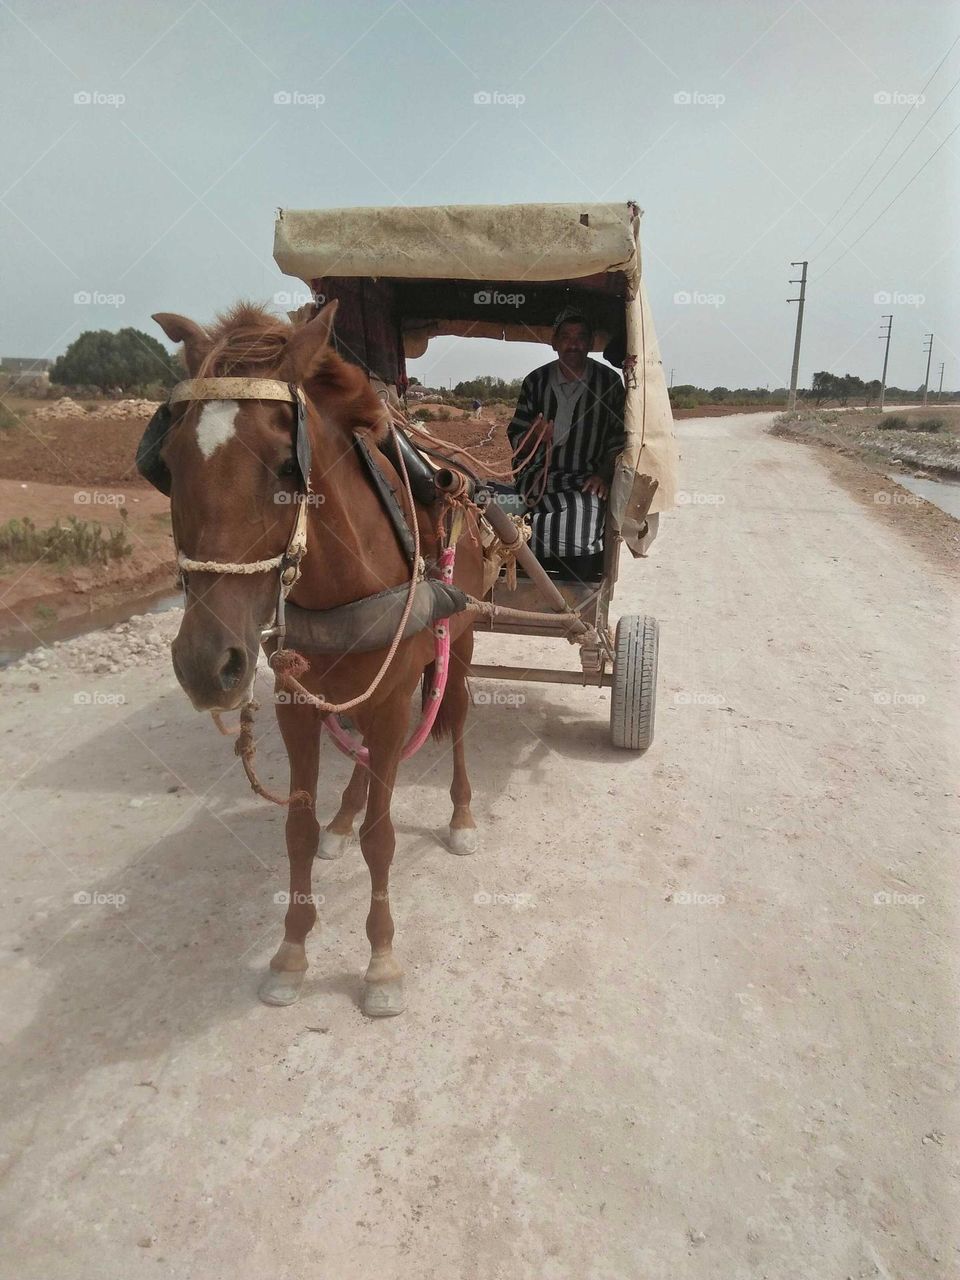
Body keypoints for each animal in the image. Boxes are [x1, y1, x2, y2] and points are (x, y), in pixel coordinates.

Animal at [146, 299, 483, 1018]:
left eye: (284, 466)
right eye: (169, 462)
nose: (205, 664)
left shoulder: (395, 696)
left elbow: (384, 837)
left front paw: (381, 963)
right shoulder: (296, 702)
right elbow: (296, 829)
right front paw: (291, 952)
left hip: (462, 641)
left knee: (460, 717)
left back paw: (463, 814)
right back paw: (343, 817)